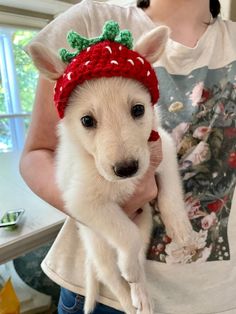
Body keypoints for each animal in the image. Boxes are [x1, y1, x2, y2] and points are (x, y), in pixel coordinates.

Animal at [28, 23, 193, 312]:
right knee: (112, 278)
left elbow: (170, 192)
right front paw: (128, 266)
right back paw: (128, 297)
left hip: (145, 221)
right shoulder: (84, 203)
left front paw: (180, 226)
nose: (127, 169)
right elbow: (126, 235)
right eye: (86, 120)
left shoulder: (163, 148)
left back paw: (142, 294)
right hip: (98, 245)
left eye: (138, 109)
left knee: (138, 260)